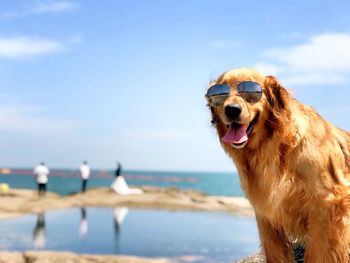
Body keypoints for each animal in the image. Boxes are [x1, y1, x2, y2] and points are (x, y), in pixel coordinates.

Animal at [206, 68, 350, 263]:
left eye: (251, 91)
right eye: (220, 94)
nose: (232, 110)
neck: (277, 144)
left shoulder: (326, 205)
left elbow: (316, 253)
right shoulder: (265, 209)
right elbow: (274, 252)